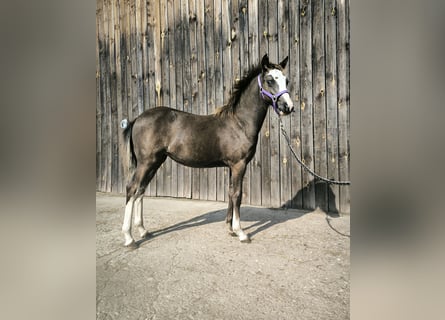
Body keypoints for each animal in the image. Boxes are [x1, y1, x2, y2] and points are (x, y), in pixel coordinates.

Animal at [121, 53, 294, 248]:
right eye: (270, 80)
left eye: (286, 80)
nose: (288, 107)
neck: (239, 123)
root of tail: (137, 119)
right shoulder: (239, 165)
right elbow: (237, 194)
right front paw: (241, 232)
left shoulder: (231, 166)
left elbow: (231, 192)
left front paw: (230, 228)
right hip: (146, 162)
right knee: (132, 188)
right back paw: (129, 238)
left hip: (155, 162)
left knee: (141, 190)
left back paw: (143, 230)